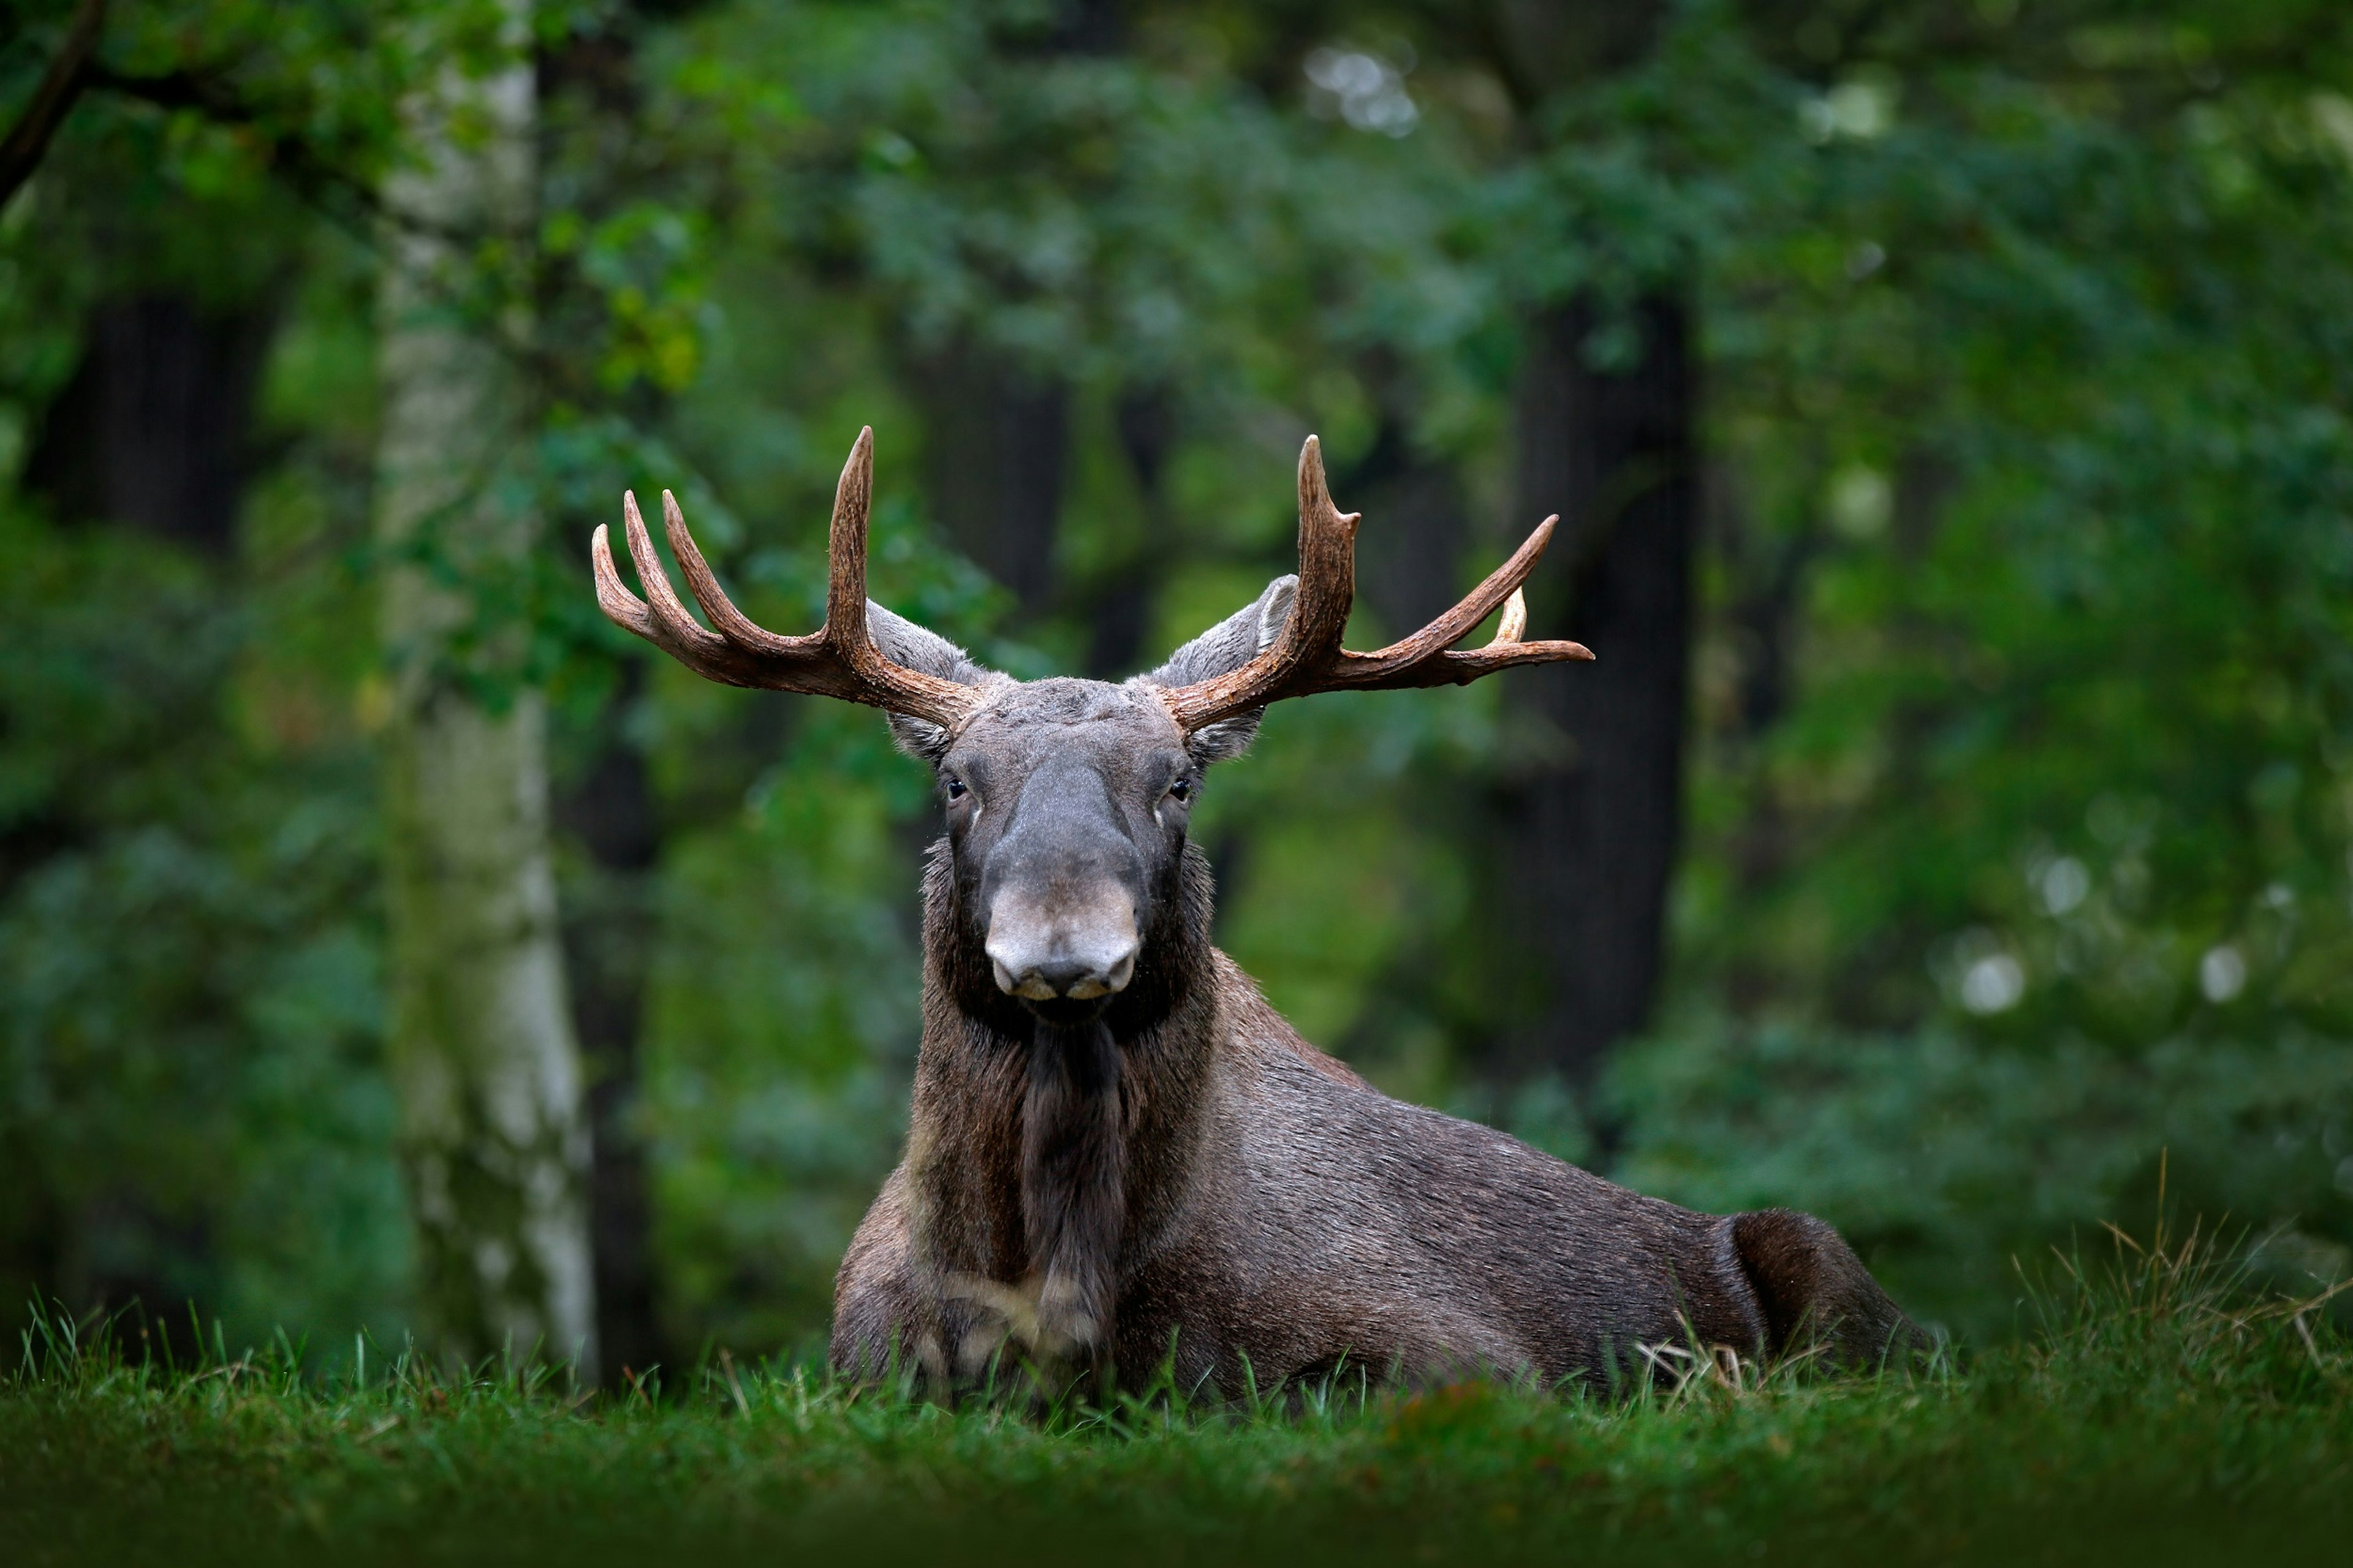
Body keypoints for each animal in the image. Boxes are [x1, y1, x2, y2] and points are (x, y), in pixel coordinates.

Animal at [597, 423, 1920, 1393]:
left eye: (1176, 782)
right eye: (959, 781)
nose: (1063, 944)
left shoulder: (1470, 1356)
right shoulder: (859, 1362)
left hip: (1836, 1269)